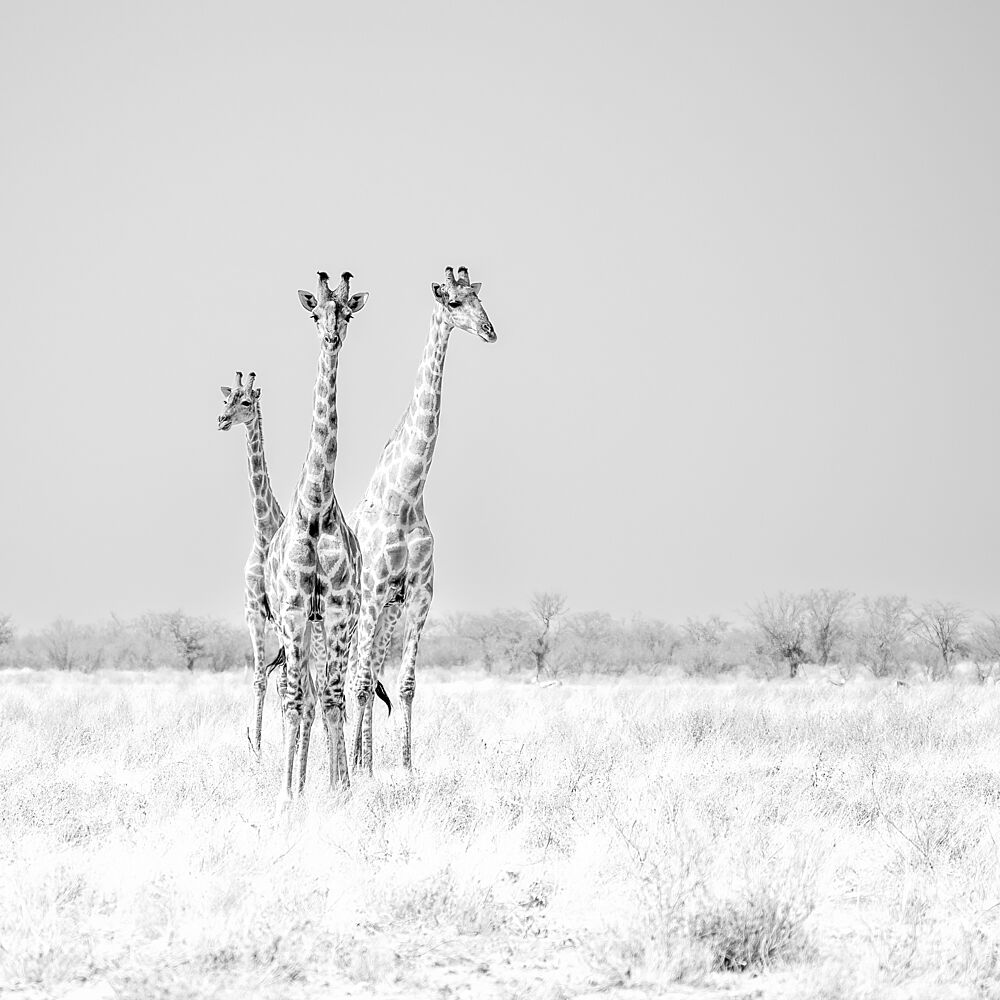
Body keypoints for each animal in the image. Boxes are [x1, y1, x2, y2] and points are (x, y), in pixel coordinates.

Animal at [348, 265, 496, 773]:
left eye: (479, 297)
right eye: (452, 302)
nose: (490, 331)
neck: (407, 495)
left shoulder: (417, 595)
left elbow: (407, 684)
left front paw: (406, 768)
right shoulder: (373, 592)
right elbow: (361, 684)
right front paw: (359, 769)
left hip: (386, 614)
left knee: (369, 671)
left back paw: (362, 759)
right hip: (354, 611)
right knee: (349, 675)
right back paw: (353, 760)